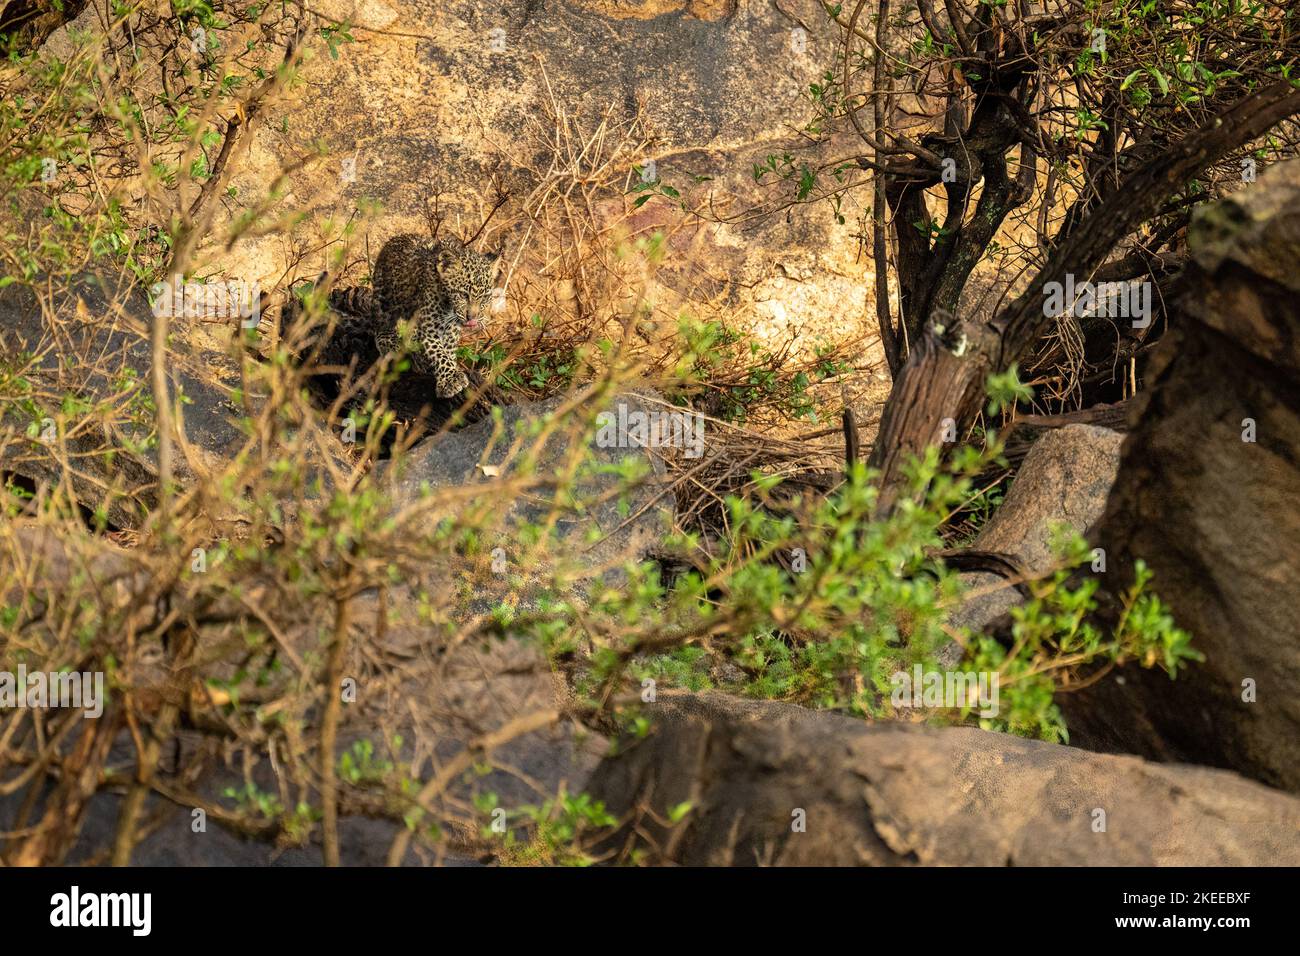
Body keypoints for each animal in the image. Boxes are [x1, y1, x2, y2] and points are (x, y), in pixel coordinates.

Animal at [329, 234, 501, 398]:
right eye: (463, 295)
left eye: (485, 297)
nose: (472, 319)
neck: (449, 305)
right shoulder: (429, 328)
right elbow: (439, 353)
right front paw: (451, 379)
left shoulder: (452, 328)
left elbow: (448, 350)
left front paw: (449, 373)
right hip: (383, 300)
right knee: (381, 327)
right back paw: (391, 343)